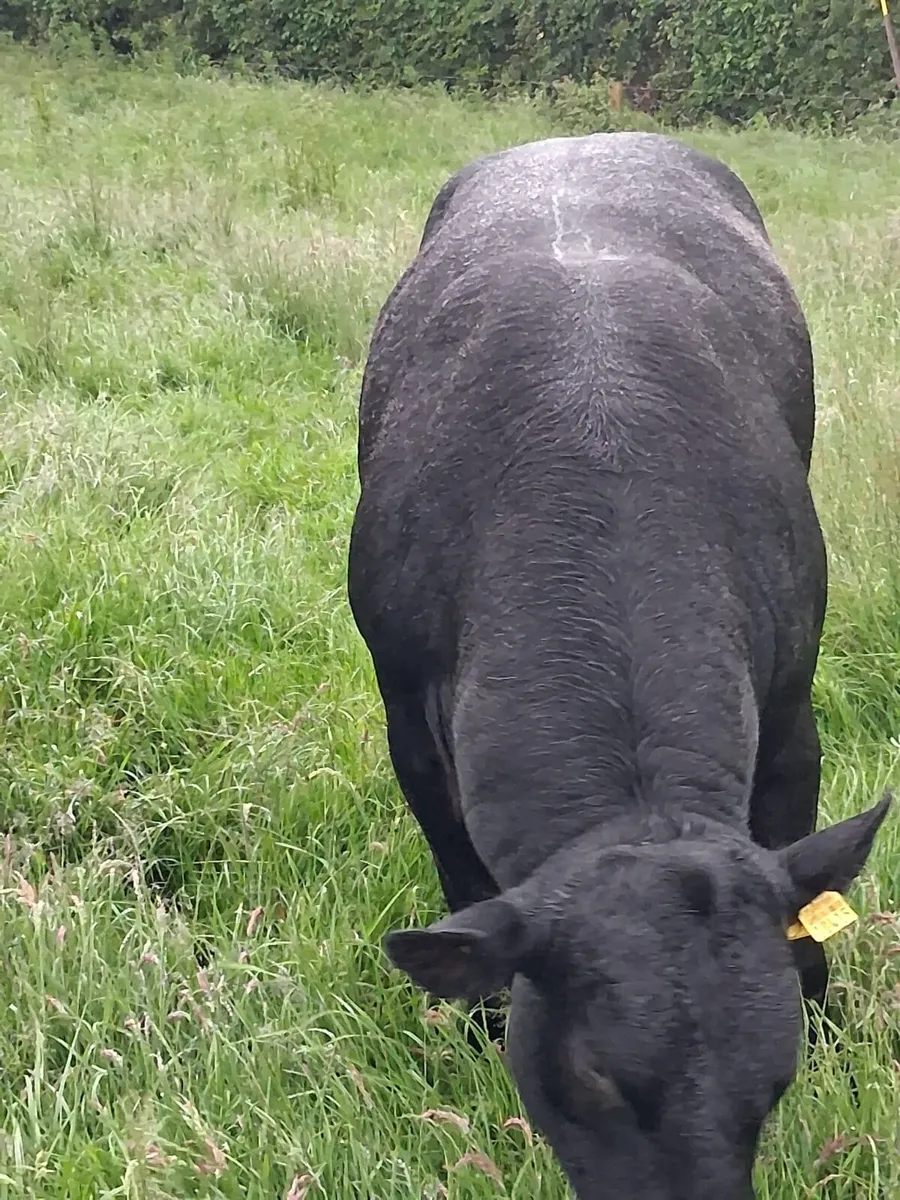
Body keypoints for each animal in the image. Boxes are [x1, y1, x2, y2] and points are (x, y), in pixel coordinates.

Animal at [346, 131, 890, 1199]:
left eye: (775, 1078)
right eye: (595, 1075)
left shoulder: (791, 712)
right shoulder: (406, 722)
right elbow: (461, 878)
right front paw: (475, 1033)